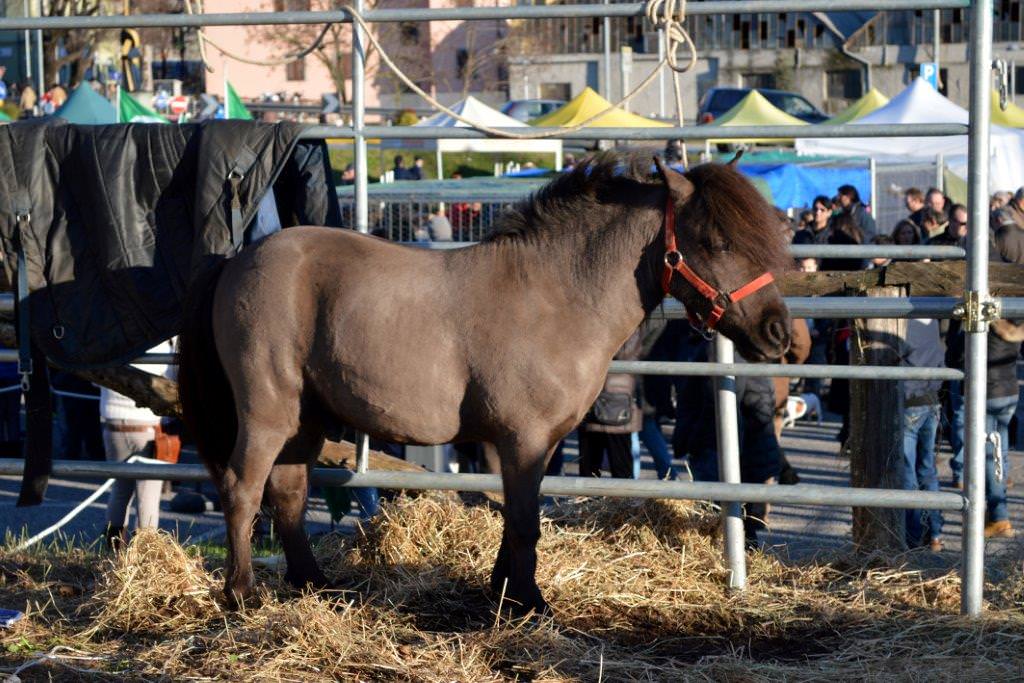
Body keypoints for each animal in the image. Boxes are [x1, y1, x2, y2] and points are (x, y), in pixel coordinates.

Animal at [178, 154, 790, 614]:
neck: (555, 295)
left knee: (287, 493)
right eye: (715, 241)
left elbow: (514, 516)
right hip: (268, 413)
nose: (777, 332)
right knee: (241, 489)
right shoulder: (525, 439)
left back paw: (313, 584)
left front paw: (503, 593)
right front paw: (529, 603)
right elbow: (523, 523)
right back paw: (241, 594)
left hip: (306, 418)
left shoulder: (525, 446)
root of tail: (239, 261)